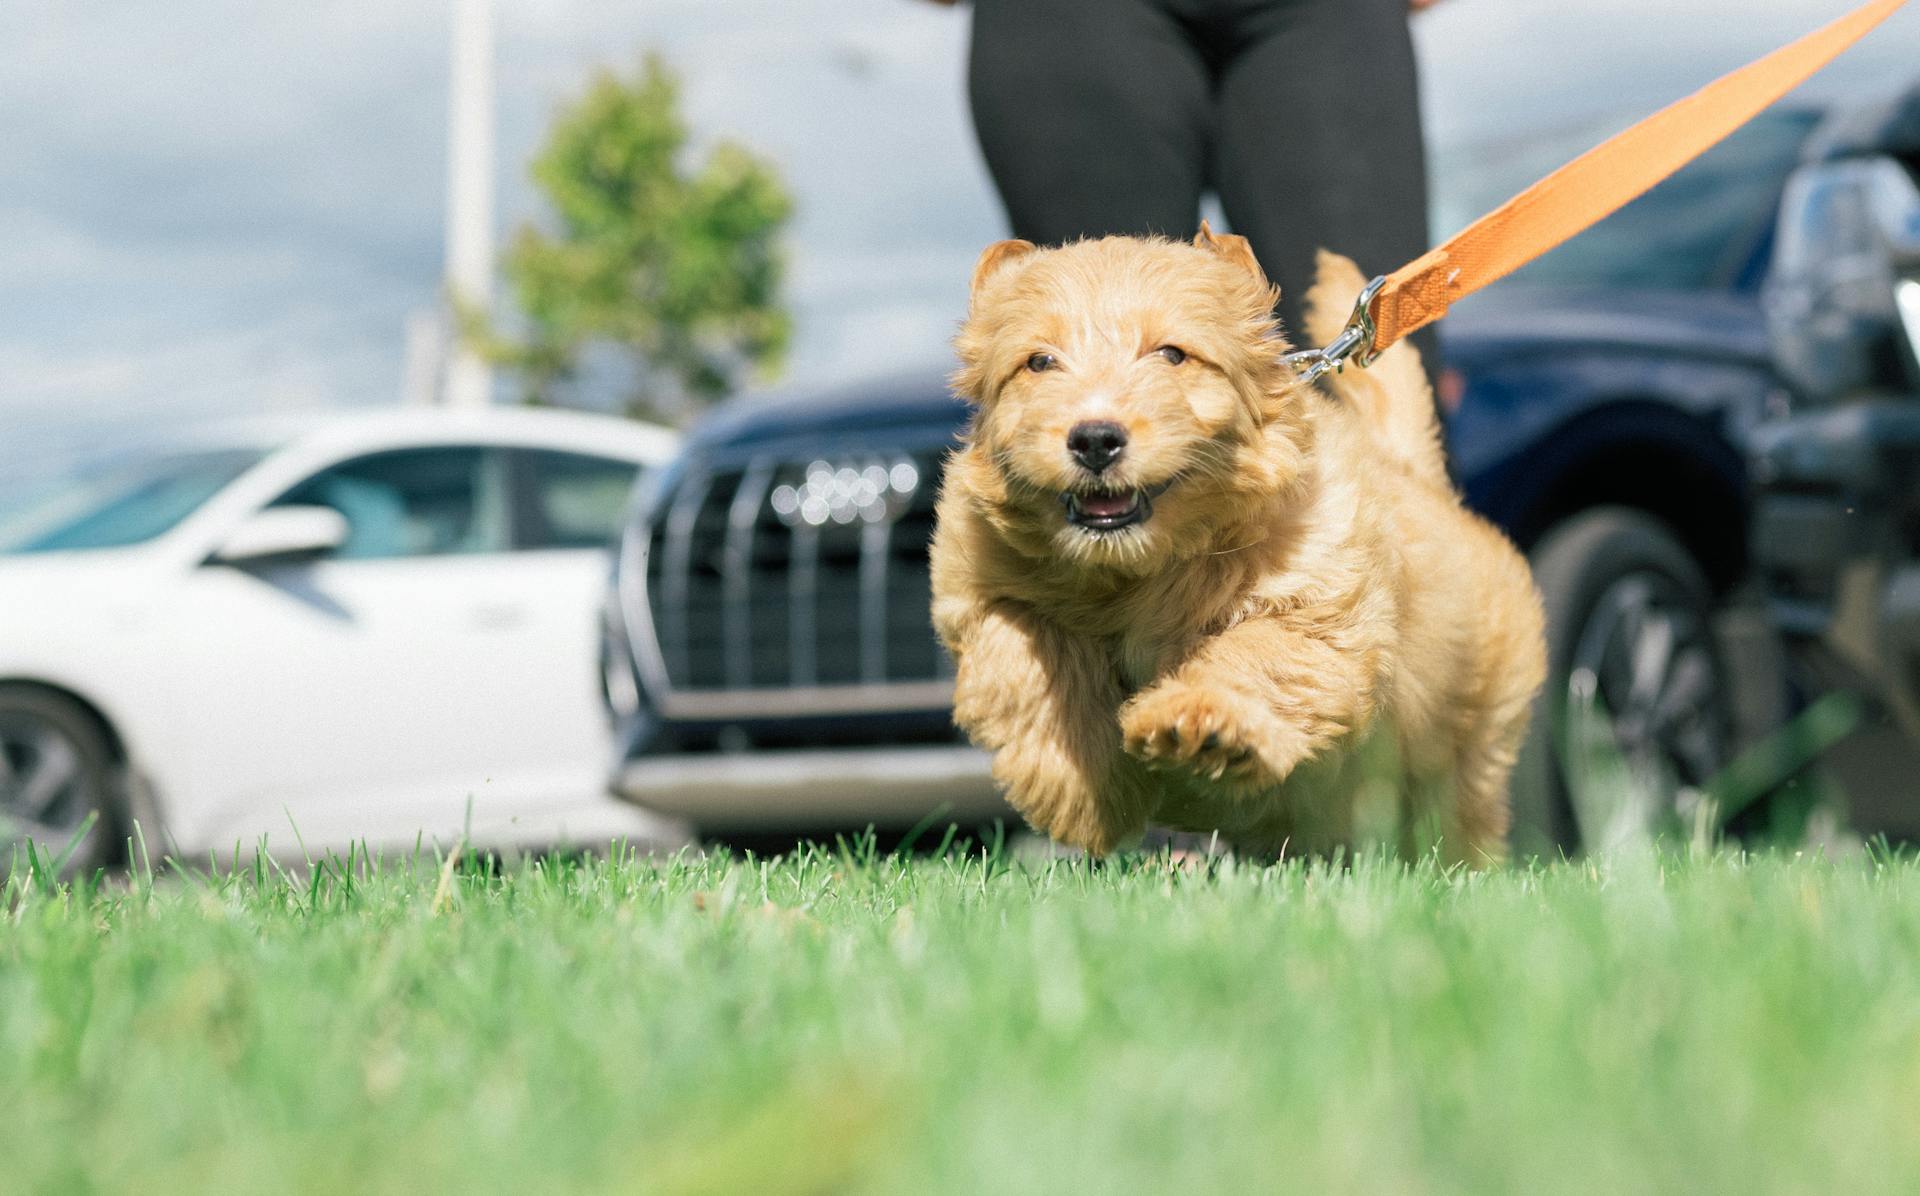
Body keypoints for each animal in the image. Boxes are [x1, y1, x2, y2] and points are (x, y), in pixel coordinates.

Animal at [925, 226, 1543, 860]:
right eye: (1039, 362)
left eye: (1173, 354)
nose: (1094, 438)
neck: (1138, 568)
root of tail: (1415, 475)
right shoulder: (980, 587)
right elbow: (1023, 656)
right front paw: (1076, 786)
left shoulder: (1320, 610)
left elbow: (1257, 652)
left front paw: (1199, 720)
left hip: (1471, 744)